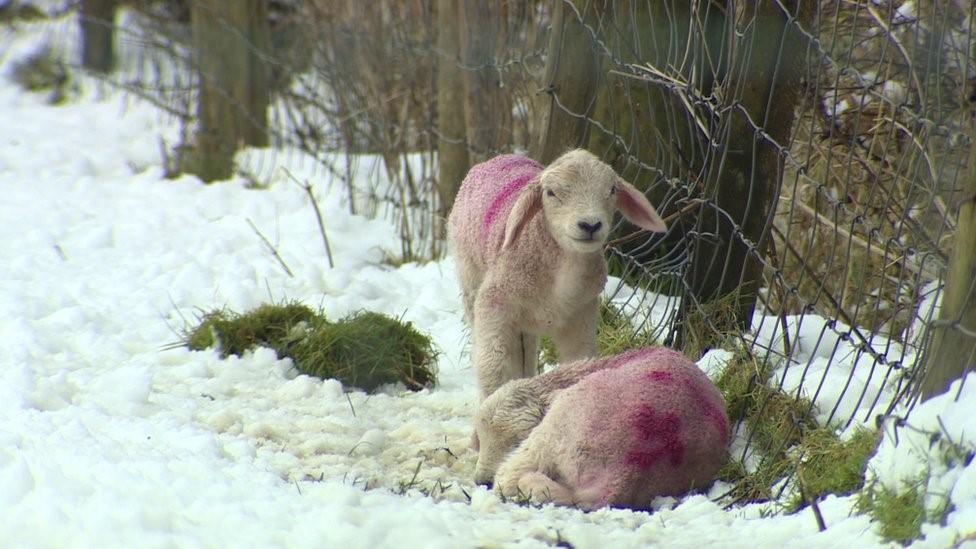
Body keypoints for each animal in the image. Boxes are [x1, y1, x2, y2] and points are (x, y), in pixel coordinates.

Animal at [448, 148, 664, 400]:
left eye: (612, 190)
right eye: (550, 193)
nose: (590, 225)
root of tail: (500, 157)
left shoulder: (581, 315)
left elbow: (579, 360)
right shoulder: (494, 303)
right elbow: (493, 363)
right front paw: (493, 400)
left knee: (527, 349)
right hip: (470, 276)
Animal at [472, 346, 724, 510]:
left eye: (515, 441)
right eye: (481, 440)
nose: (482, 480)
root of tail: (621, 475)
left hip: (564, 422)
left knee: (512, 475)